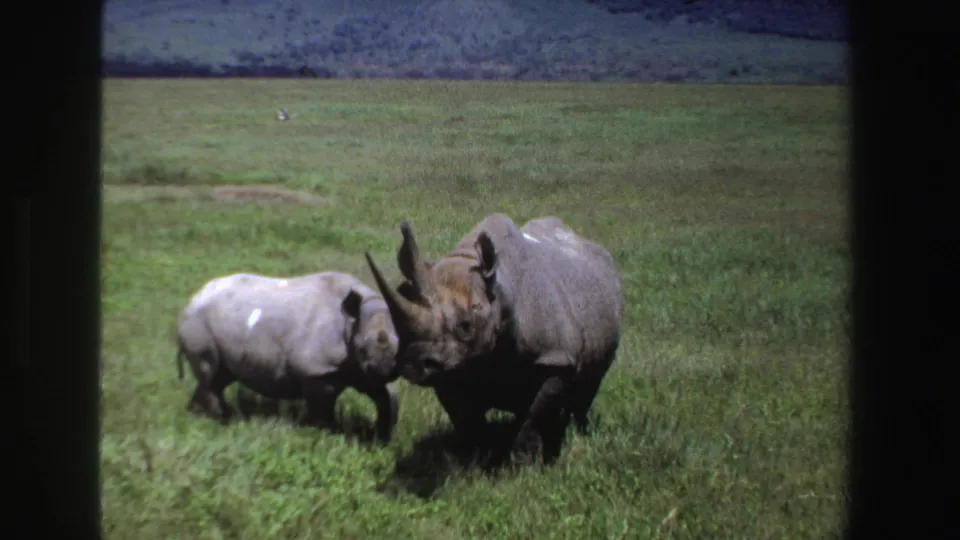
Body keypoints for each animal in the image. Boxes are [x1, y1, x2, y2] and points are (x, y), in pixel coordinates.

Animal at [175, 271, 401, 443]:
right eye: (362, 348)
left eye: (401, 348)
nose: (387, 370)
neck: (351, 322)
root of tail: (192, 300)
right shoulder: (317, 371)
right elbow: (323, 413)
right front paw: (326, 438)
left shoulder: (359, 370)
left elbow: (385, 399)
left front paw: (380, 440)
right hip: (197, 322)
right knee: (210, 373)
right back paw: (223, 421)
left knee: (218, 376)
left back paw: (203, 415)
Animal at [363, 213, 625, 464]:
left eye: (466, 327)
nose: (413, 365)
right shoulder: (448, 367)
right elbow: (467, 421)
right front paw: (477, 461)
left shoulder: (555, 358)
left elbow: (534, 417)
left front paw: (522, 466)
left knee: (590, 384)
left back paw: (578, 432)